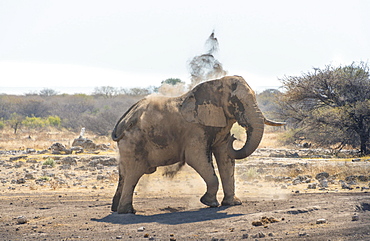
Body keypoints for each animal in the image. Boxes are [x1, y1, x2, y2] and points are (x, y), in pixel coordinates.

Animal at [111, 76, 284, 215]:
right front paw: (209, 203)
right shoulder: (195, 130)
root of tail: (123, 120)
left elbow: (225, 158)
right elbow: (196, 158)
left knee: (124, 174)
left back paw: (115, 209)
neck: (216, 84)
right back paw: (127, 212)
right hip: (134, 142)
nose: (234, 138)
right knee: (134, 173)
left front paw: (233, 203)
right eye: (236, 101)